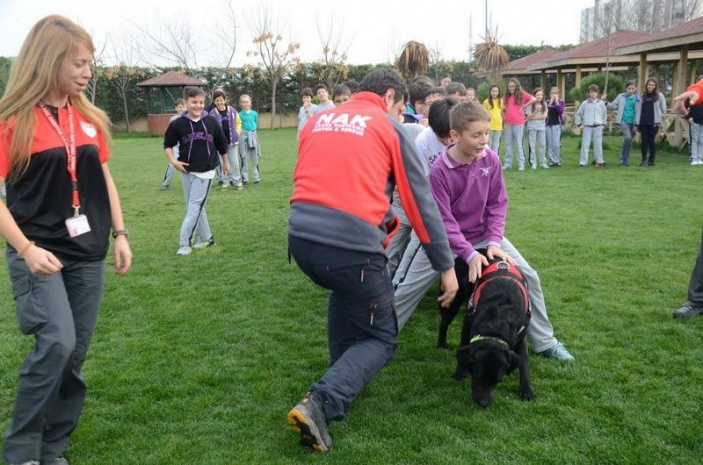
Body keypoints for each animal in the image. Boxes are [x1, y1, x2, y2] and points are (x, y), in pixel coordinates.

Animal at [438, 254, 536, 406]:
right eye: (477, 377)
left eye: (497, 381)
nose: (483, 403)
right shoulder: (468, 322)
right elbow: (462, 345)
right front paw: (460, 373)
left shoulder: (521, 336)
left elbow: (524, 364)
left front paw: (527, 391)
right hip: (452, 298)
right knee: (443, 323)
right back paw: (441, 344)